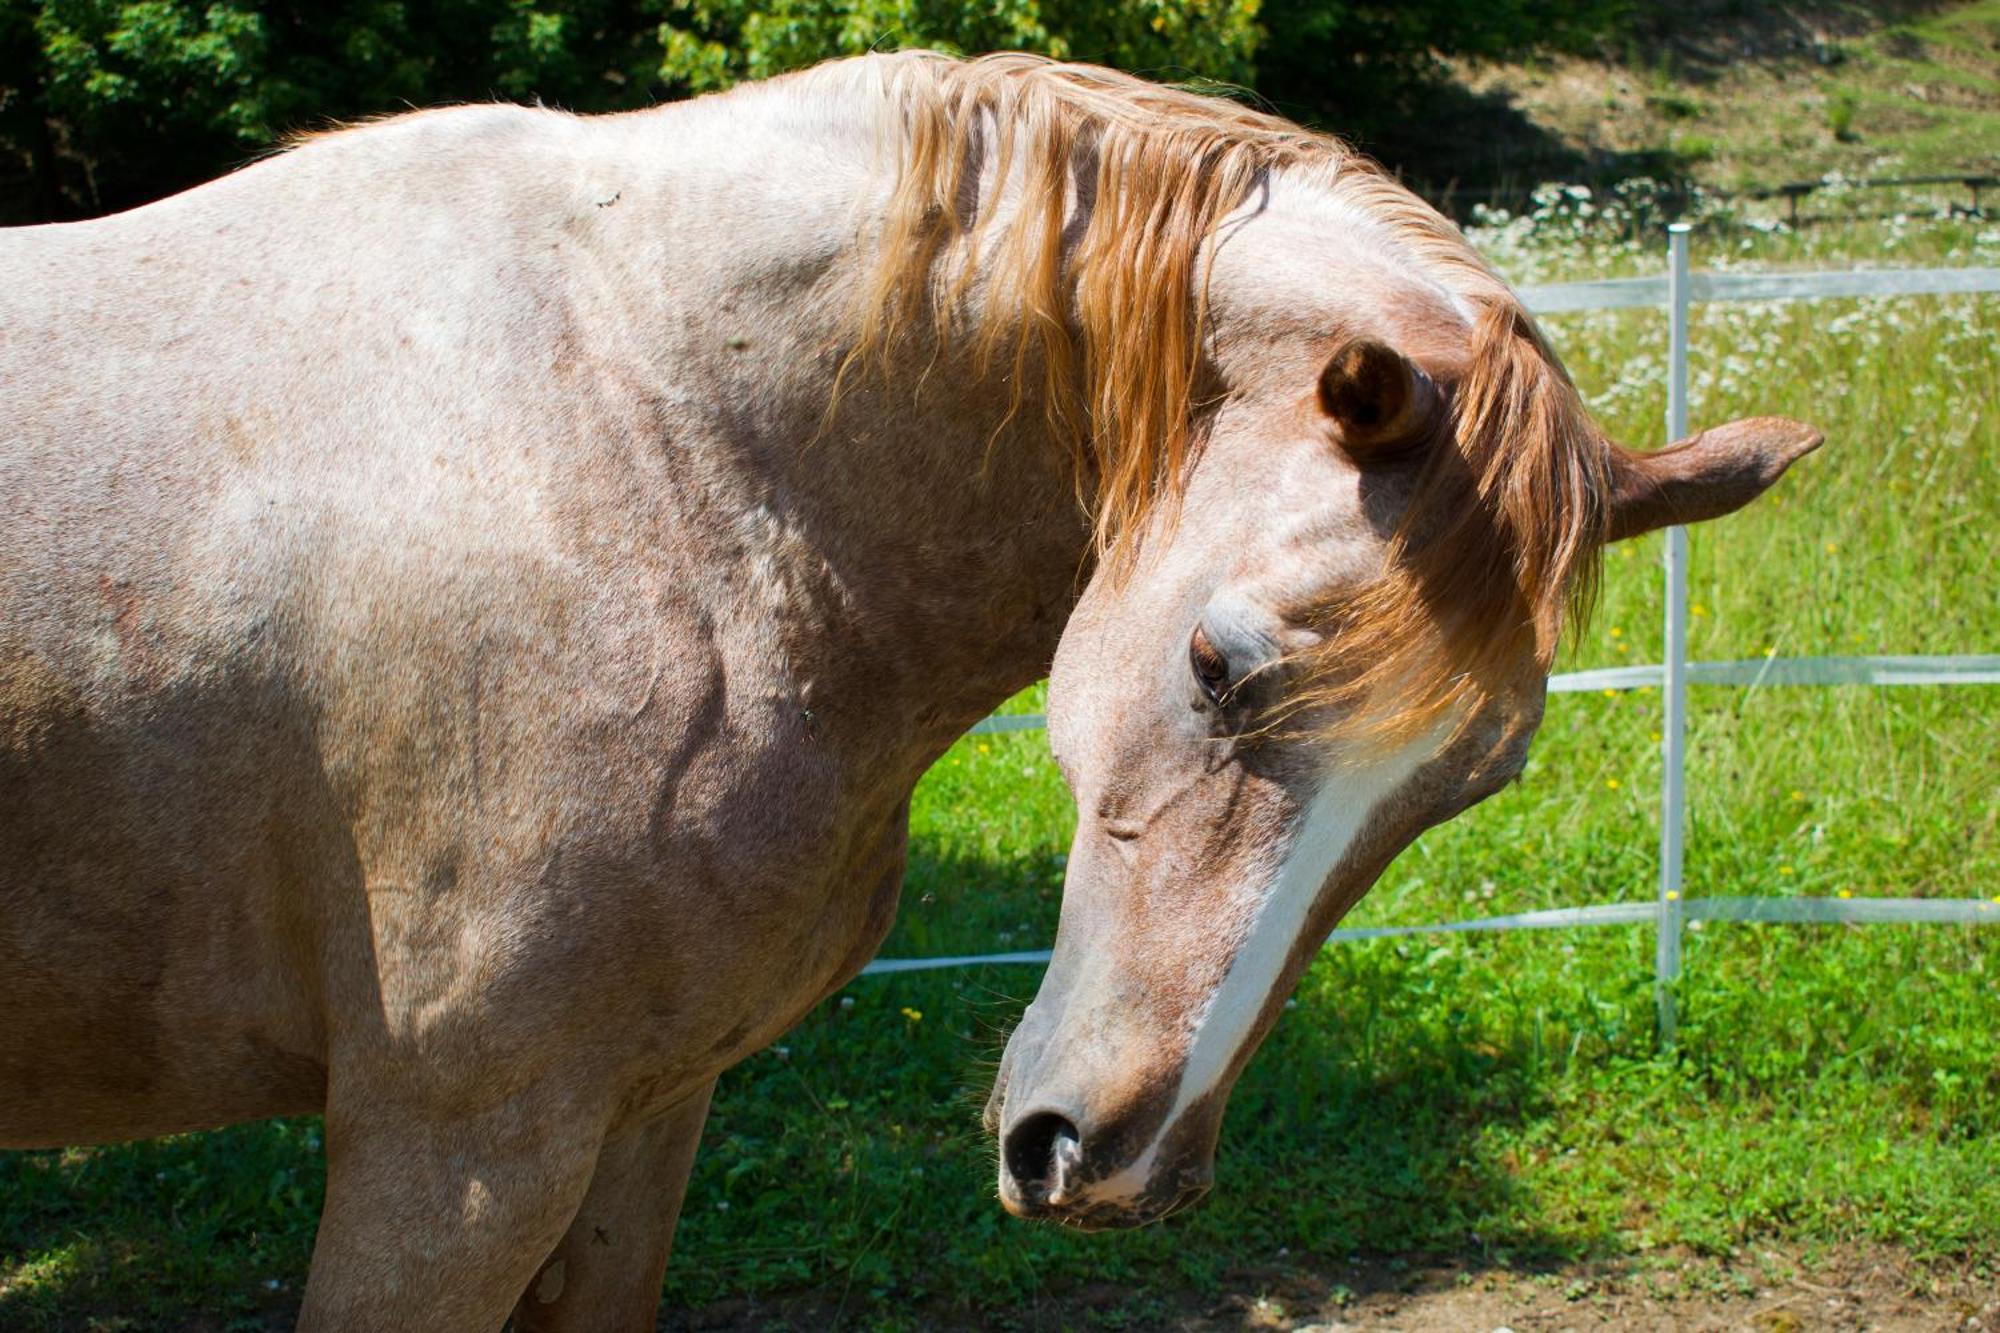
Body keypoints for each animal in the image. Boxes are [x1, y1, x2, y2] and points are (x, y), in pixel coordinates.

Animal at [0, 46, 1824, 1320]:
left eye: (1469, 780)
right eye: (1222, 665)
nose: (1120, 1161)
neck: (637, 439)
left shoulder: (640, 1109)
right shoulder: (450, 1153)